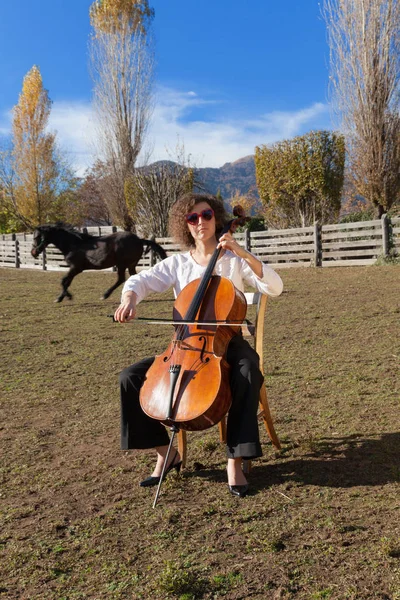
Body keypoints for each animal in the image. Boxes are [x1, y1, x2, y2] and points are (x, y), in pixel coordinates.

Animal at [31, 223, 167, 302]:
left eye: (37, 237)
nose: (33, 252)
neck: (73, 245)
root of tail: (139, 240)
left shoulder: (75, 268)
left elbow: (64, 281)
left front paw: (61, 298)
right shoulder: (74, 269)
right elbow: (66, 282)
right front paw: (66, 296)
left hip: (122, 264)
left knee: (121, 279)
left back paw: (105, 295)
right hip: (130, 265)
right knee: (133, 277)